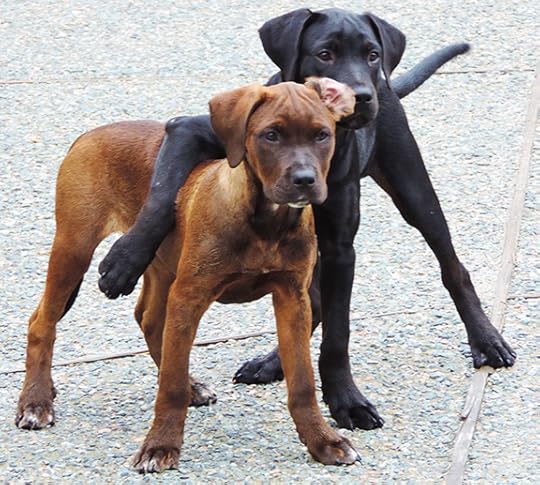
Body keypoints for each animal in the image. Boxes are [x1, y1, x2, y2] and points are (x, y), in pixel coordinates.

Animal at [16, 79, 361, 471]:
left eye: (322, 135)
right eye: (270, 135)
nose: (304, 180)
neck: (265, 224)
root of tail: (88, 134)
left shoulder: (293, 299)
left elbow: (302, 383)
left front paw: (323, 441)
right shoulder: (190, 295)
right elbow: (170, 387)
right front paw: (160, 446)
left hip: (161, 264)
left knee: (149, 320)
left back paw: (191, 385)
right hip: (74, 247)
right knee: (42, 322)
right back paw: (36, 402)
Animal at [96, 8, 516, 431]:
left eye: (372, 54)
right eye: (324, 54)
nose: (362, 96)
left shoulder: (339, 247)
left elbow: (338, 331)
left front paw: (345, 399)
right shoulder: (186, 130)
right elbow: (162, 192)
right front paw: (124, 260)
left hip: (412, 189)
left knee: (452, 267)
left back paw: (487, 340)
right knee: (310, 301)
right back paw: (272, 362)